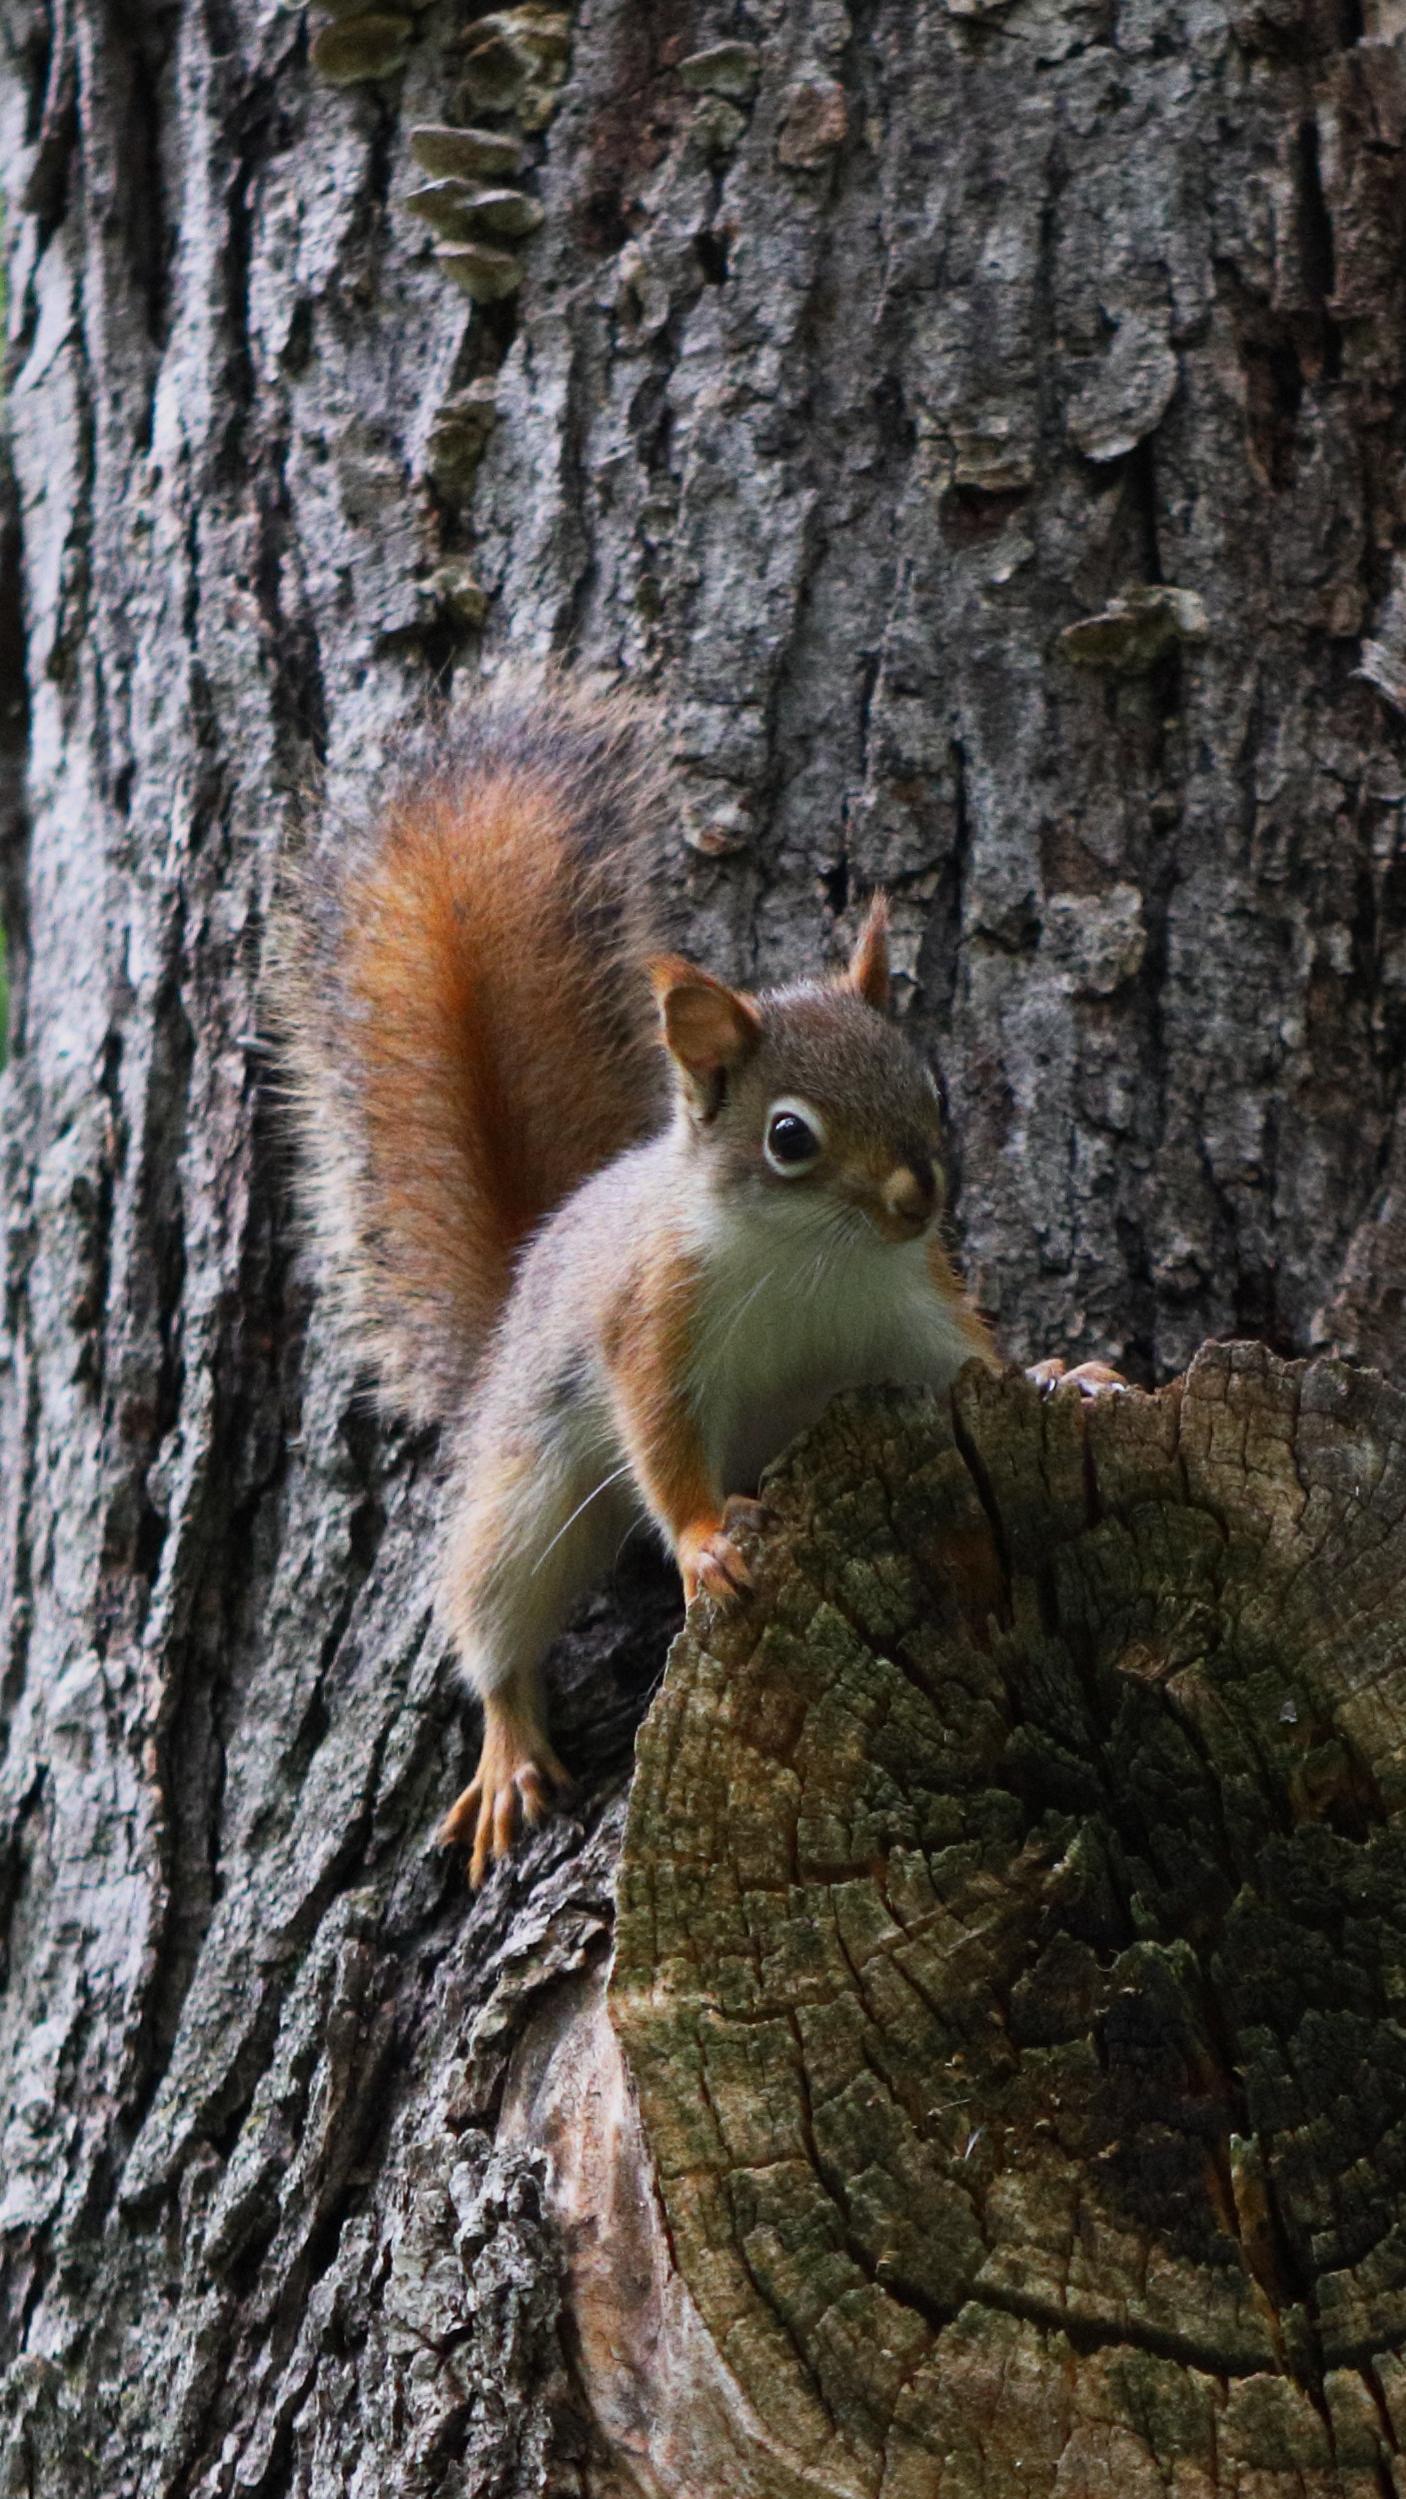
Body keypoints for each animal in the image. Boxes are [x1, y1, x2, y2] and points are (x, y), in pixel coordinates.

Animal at [269, 664, 1118, 1879]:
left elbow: (969, 1371)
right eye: (788, 1137)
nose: (918, 1200)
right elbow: (662, 1439)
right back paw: (507, 1749)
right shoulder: (653, 1322)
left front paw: (1061, 1375)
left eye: (933, 1086)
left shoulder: (911, 1305)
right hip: (526, 1490)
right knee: (493, 1615)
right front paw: (708, 1543)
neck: (812, 1258)